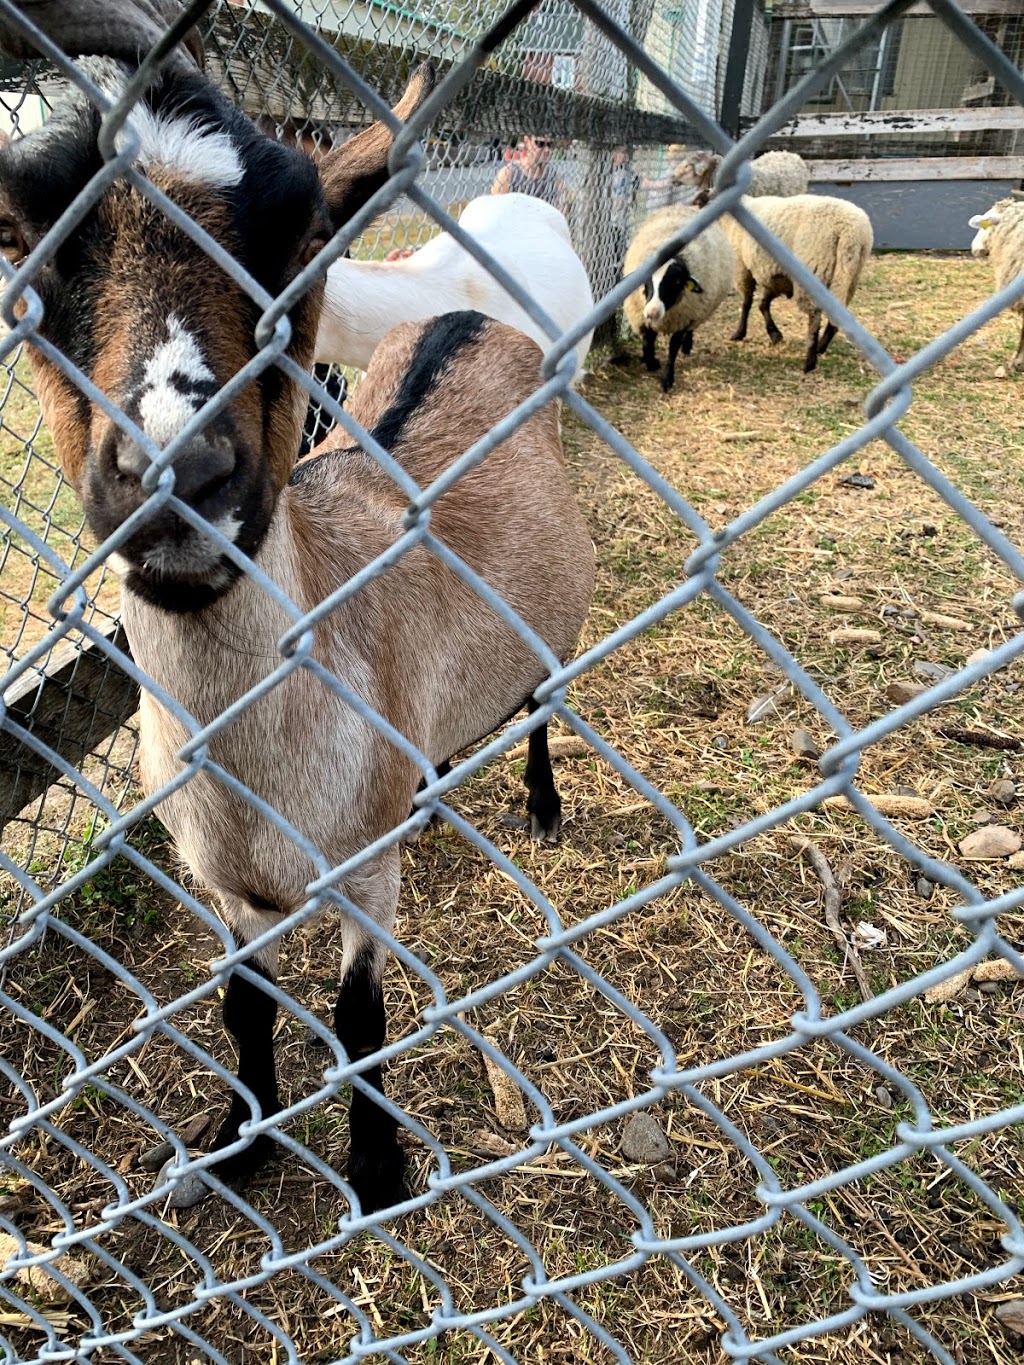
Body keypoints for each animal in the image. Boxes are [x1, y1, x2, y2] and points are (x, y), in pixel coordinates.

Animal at [0, 2, 598, 1217]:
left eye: (305, 230)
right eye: (28, 244)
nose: (177, 471)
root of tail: (466, 315)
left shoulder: (363, 878)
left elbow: (359, 1014)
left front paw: (374, 1167)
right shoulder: (226, 891)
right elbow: (244, 1007)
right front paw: (235, 1141)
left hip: (551, 631)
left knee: (539, 706)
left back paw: (543, 801)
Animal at [622, 203, 731, 395]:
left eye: (677, 282)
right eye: (645, 281)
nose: (652, 312)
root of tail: (686, 206)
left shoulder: (684, 318)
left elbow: (673, 347)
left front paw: (667, 379)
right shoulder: (641, 317)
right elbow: (648, 341)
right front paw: (651, 363)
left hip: (697, 312)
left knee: (691, 330)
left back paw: (687, 346)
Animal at [720, 193, 873, 374]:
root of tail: (849, 232)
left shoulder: (743, 268)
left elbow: (747, 303)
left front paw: (739, 333)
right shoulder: (777, 276)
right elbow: (763, 303)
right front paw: (775, 334)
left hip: (814, 269)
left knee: (814, 317)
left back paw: (810, 361)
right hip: (849, 275)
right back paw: (820, 348)